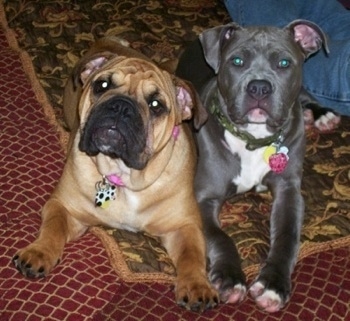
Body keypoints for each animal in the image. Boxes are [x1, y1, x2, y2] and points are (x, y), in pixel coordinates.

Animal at [13, 37, 217, 310]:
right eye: (102, 85)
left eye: (156, 105)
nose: (121, 106)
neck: (123, 175)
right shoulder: (64, 207)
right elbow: (53, 228)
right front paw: (39, 252)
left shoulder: (184, 226)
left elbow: (192, 256)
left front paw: (197, 285)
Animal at [176, 19, 330, 310]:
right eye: (237, 61)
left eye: (284, 63)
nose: (259, 87)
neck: (255, 139)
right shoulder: (203, 198)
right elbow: (221, 238)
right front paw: (229, 278)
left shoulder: (289, 191)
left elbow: (287, 236)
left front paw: (273, 285)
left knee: (305, 96)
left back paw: (322, 114)